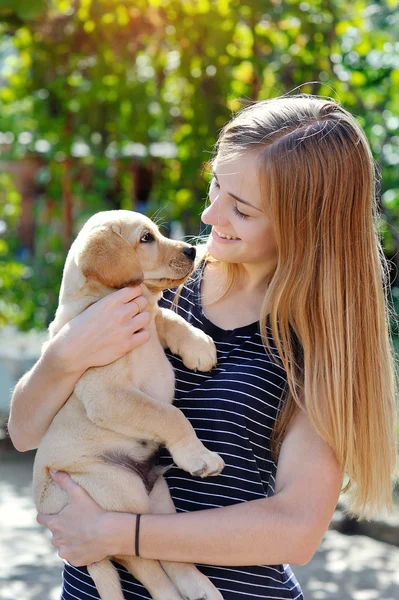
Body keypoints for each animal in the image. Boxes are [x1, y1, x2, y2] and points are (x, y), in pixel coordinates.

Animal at [32, 211, 227, 600]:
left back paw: (200, 587)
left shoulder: (147, 316)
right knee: (140, 562)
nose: (191, 251)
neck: (99, 300)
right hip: (116, 492)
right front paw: (197, 455)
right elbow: (170, 414)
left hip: (157, 501)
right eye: (146, 239)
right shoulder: (106, 394)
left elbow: (165, 316)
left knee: (164, 549)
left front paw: (198, 345)